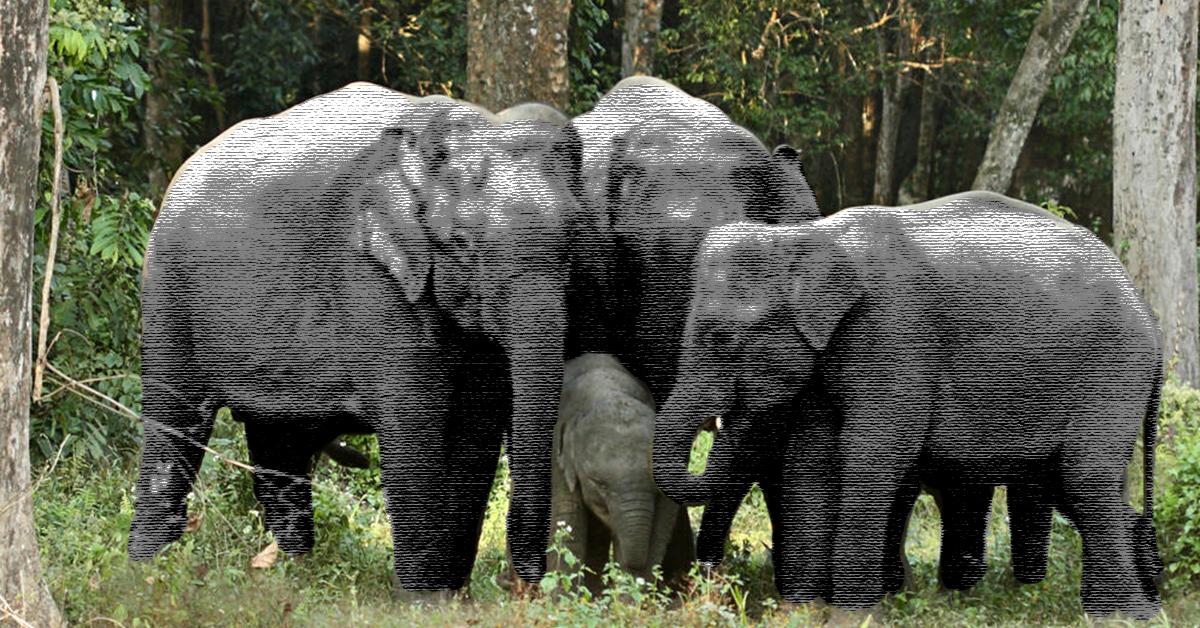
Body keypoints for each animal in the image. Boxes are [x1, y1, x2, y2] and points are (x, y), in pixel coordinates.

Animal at [130, 82, 582, 593]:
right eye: (463, 245)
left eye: (573, 243)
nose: (526, 587)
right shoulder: (373, 281)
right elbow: (416, 419)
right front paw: (424, 600)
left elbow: (478, 424)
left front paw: (451, 595)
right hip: (167, 289)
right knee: (174, 425)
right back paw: (146, 572)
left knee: (278, 444)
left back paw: (291, 573)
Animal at [651, 191, 1163, 618]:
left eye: (722, 338)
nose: (709, 589)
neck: (806, 238)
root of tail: (1148, 313)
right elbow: (813, 462)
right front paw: (805, 612)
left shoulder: (893, 332)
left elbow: (871, 454)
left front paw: (852, 616)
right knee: (1071, 481)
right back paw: (1138, 598)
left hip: (1115, 367)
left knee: (1084, 475)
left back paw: (1123, 616)